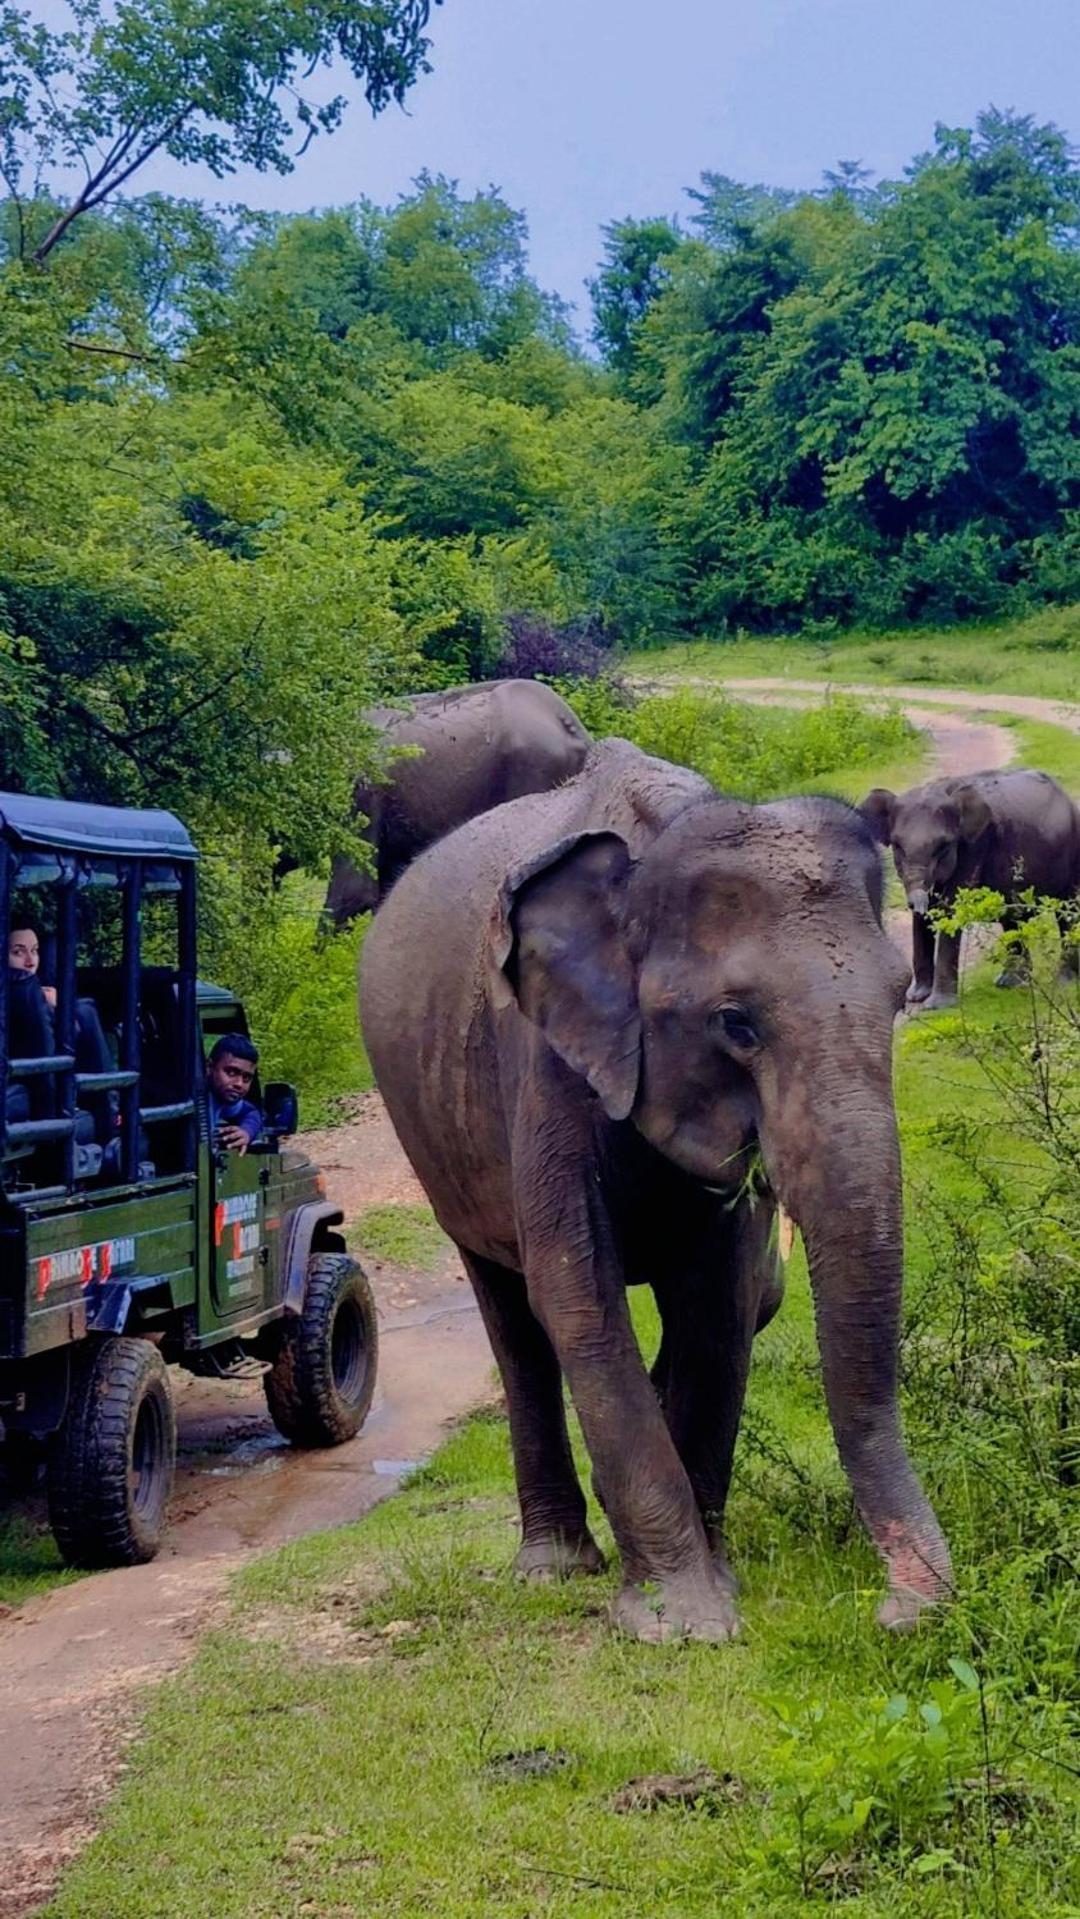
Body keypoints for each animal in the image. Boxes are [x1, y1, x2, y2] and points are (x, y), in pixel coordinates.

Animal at [358, 740, 951, 1642]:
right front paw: (684, 1623)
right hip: (433, 1141)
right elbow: (580, 1298)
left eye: (896, 1001)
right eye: (736, 1023)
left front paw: (714, 1584)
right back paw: (554, 1565)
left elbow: (721, 1303)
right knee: (514, 1320)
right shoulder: (543, 1060)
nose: (896, 1611)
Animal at [863, 763, 1080, 1013]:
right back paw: (1011, 983)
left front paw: (936, 1006)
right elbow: (923, 916)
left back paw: (1063, 982)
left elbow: (951, 909)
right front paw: (917, 997)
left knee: (1066, 912)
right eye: (898, 846)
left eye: (943, 847)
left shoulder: (975, 846)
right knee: (1012, 919)